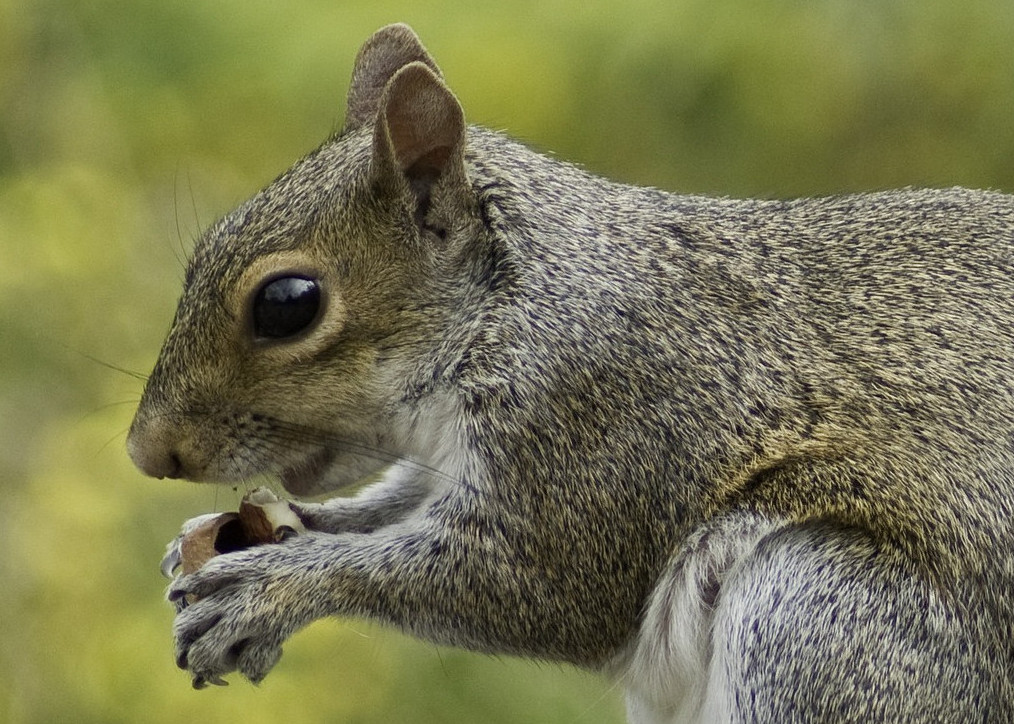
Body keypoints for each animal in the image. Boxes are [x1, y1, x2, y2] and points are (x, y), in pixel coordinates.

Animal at [127, 23, 1014, 723]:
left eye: (288, 304)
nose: (146, 452)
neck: (515, 303)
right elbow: (389, 508)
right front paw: (246, 539)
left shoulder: (601, 416)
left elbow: (534, 586)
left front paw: (270, 589)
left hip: (826, 621)